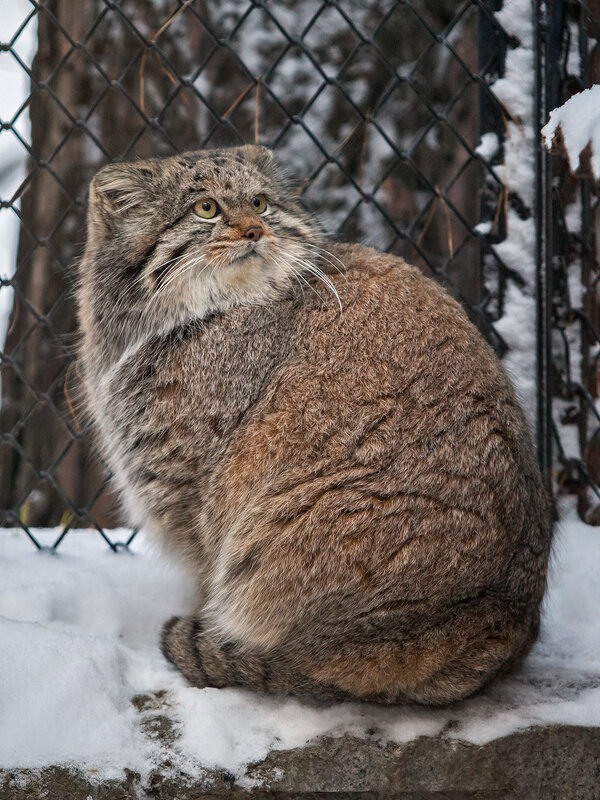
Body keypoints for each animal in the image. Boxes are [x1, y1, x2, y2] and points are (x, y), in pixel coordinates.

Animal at [78, 147, 552, 704]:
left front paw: (203, 625)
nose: (256, 229)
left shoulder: (190, 485)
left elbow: (204, 571)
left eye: (260, 202)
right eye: (206, 208)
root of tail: (500, 612)